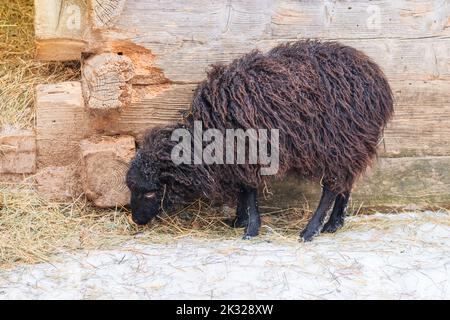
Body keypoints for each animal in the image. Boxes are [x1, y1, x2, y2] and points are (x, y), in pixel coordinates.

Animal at [125, 39, 392, 240]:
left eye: (149, 193)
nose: (137, 220)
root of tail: (377, 79)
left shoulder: (247, 150)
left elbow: (249, 190)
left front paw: (250, 228)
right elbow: (243, 190)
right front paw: (238, 220)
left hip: (338, 142)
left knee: (331, 187)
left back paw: (311, 230)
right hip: (352, 145)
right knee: (346, 182)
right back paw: (333, 224)